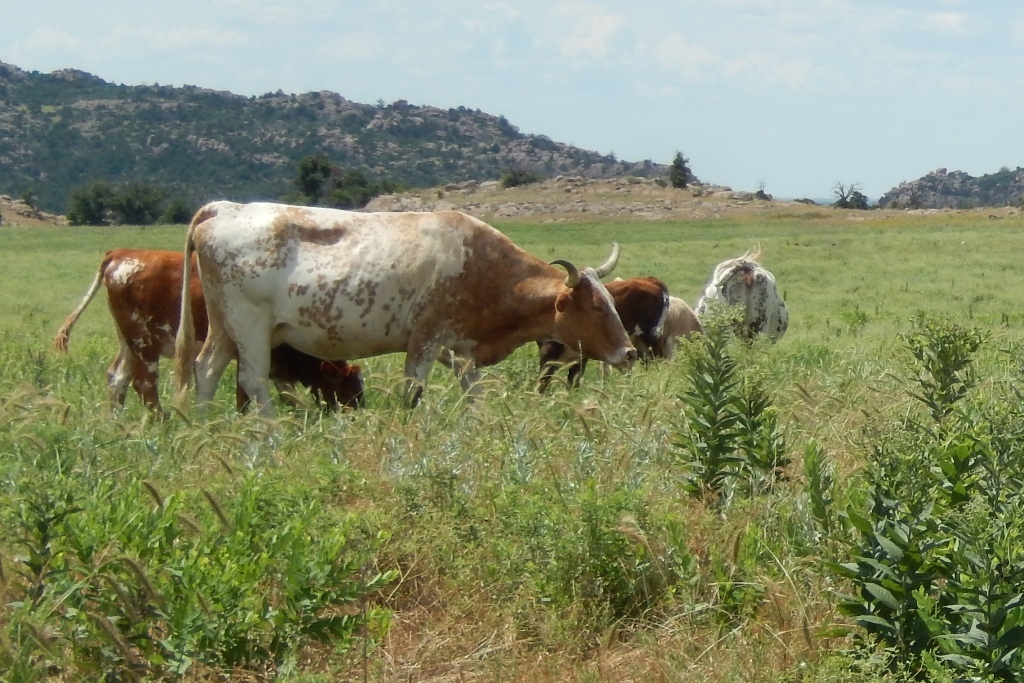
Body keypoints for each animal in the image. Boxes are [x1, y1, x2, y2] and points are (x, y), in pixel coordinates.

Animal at [55, 249, 364, 411]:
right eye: (346, 383)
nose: (358, 407)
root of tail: (123, 253)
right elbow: (250, 389)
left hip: (128, 341)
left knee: (117, 376)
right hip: (144, 342)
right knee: (144, 383)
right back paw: (161, 420)